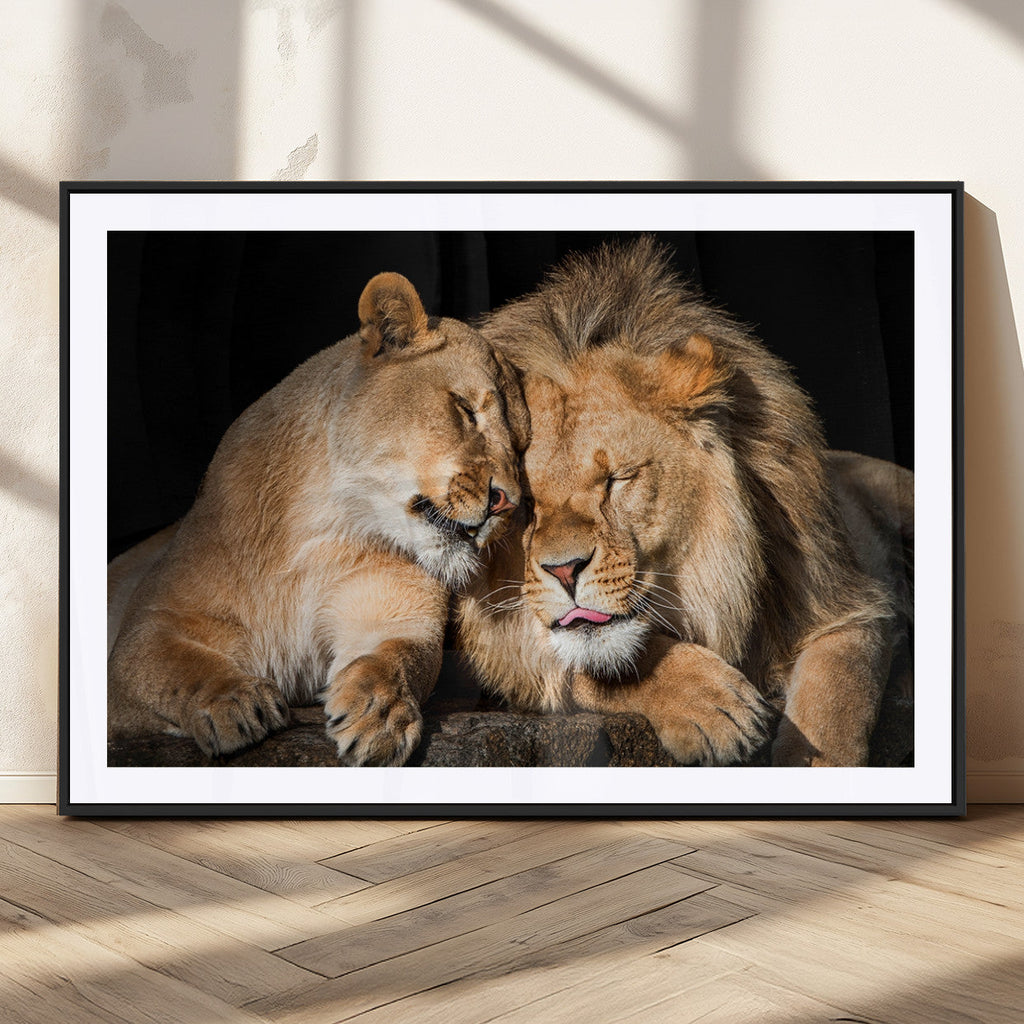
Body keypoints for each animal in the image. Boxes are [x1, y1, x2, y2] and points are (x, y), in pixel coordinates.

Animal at [107, 272, 527, 766]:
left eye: (521, 447)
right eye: (465, 409)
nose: (507, 503)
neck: (325, 528)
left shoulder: (396, 613)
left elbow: (398, 658)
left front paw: (380, 713)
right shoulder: (147, 629)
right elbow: (175, 666)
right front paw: (233, 701)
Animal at [456, 238, 912, 767]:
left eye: (618, 479)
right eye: (525, 502)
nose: (564, 571)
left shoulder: (847, 603)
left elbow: (834, 701)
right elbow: (596, 664)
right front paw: (713, 706)